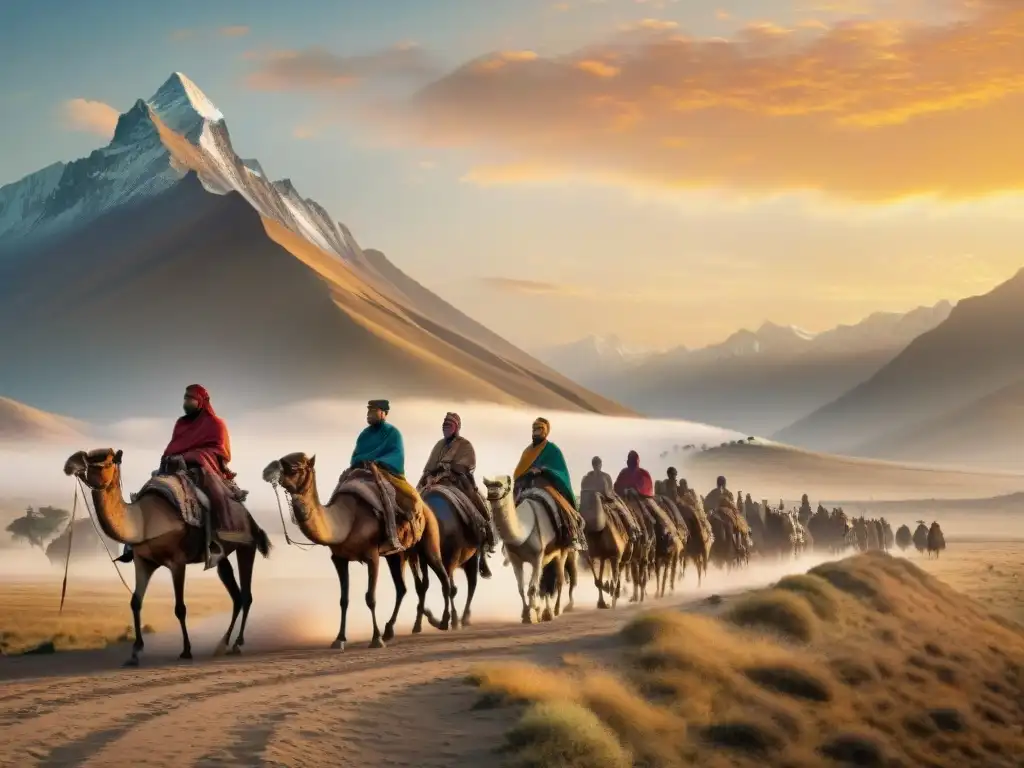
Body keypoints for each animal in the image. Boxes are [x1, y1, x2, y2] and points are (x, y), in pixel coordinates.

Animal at [62, 448, 272, 671]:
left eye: (107, 462)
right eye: (88, 458)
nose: (73, 465)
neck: (144, 521)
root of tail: (248, 515)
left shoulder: (177, 562)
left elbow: (180, 608)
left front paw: (186, 650)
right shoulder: (142, 561)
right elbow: (135, 602)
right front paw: (135, 653)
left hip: (246, 545)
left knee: (247, 595)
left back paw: (237, 644)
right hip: (220, 556)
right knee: (236, 594)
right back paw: (222, 644)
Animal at [260, 454, 452, 647]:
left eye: (295, 466)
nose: (267, 471)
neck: (345, 521)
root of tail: (424, 506)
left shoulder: (372, 556)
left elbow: (370, 598)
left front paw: (376, 639)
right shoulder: (338, 558)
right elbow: (343, 600)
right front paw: (339, 639)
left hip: (429, 538)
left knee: (442, 574)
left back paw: (443, 622)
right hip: (397, 553)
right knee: (401, 588)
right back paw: (390, 630)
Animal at [481, 475, 577, 626]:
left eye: (504, 483)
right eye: (487, 485)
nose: (493, 492)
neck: (522, 532)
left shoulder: (537, 557)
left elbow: (532, 588)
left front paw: (534, 610)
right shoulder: (515, 559)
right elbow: (521, 588)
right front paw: (527, 614)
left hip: (562, 551)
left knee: (559, 580)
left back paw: (555, 610)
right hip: (547, 557)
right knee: (545, 583)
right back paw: (546, 612)